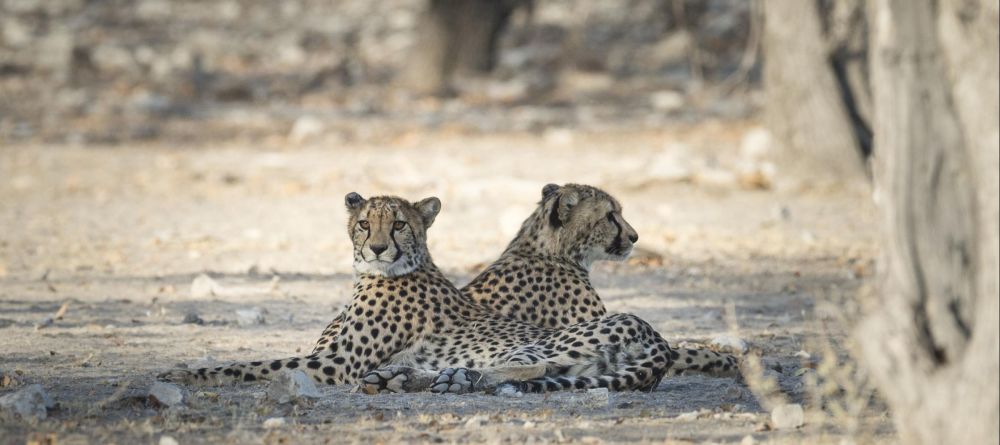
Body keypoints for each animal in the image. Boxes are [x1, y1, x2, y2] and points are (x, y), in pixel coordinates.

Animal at [160, 193, 680, 394]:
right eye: (365, 223)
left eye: (400, 224)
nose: (376, 247)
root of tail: (658, 339)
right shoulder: (335, 358)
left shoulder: (335, 363)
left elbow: (250, 364)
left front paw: (182, 374)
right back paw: (406, 379)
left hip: (552, 339)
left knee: (533, 367)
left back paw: (449, 379)